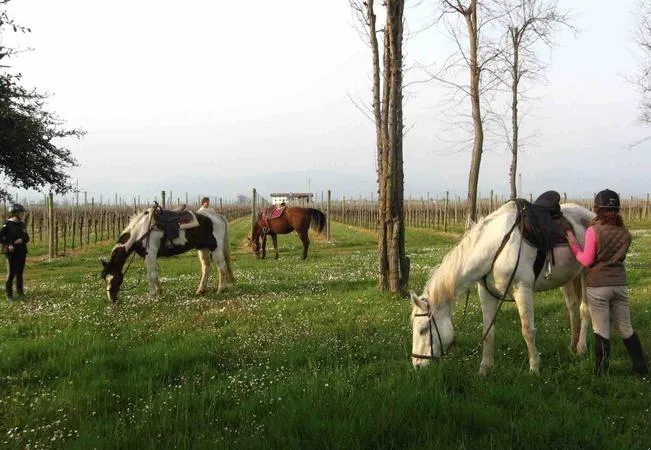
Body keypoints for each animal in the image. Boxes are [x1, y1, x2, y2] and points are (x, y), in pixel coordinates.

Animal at [101, 206, 235, 302]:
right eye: (105, 278)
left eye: (115, 278)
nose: (111, 299)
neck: (141, 231)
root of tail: (217, 216)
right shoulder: (151, 256)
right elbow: (155, 274)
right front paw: (159, 292)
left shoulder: (150, 254)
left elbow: (150, 275)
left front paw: (152, 296)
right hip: (204, 249)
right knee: (206, 267)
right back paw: (200, 290)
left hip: (216, 248)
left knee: (222, 267)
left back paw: (220, 290)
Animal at [410, 201, 595, 376]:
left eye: (423, 330)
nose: (417, 365)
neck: (495, 246)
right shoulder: (486, 292)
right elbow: (488, 331)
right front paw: (484, 370)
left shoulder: (522, 289)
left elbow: (528, 330)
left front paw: (534, 368)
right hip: (568, 280)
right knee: (572, 308)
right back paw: (572, 346)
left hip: (586, 275)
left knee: (584, 310)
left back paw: (581, 348)